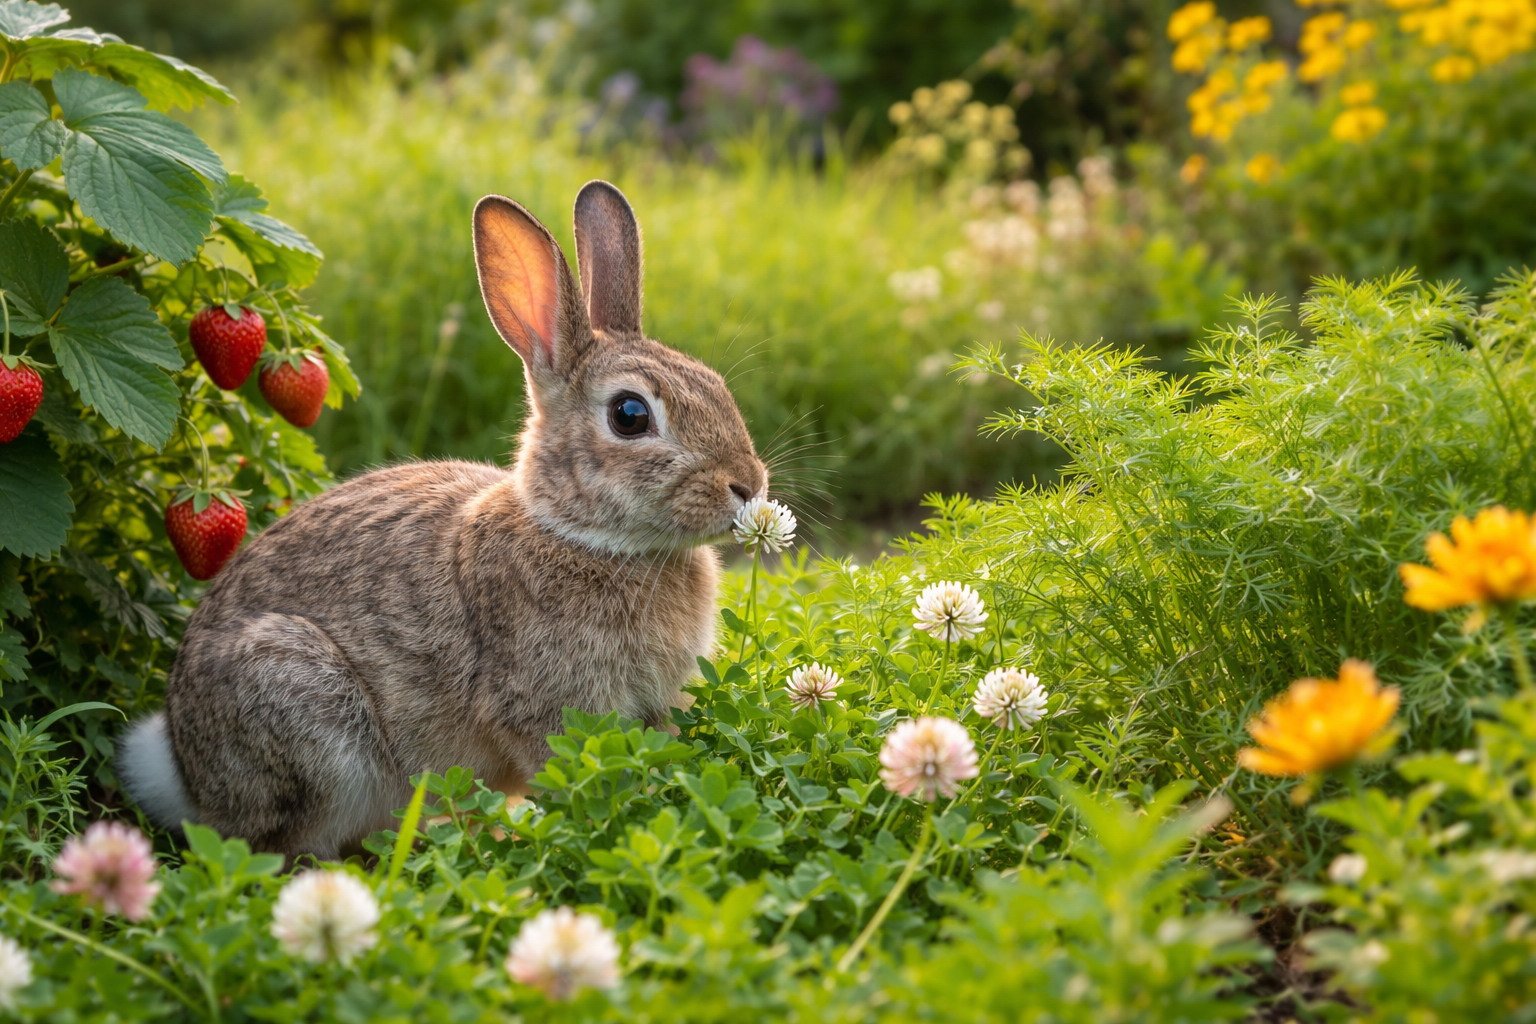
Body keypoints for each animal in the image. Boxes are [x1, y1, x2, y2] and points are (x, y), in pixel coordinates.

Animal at [117, 181, 768, 858]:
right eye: (630, 415)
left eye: (714, 383)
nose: (748, 485)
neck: (586, 536)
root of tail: (187, 774)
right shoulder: (544, 705)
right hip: (302, 707)